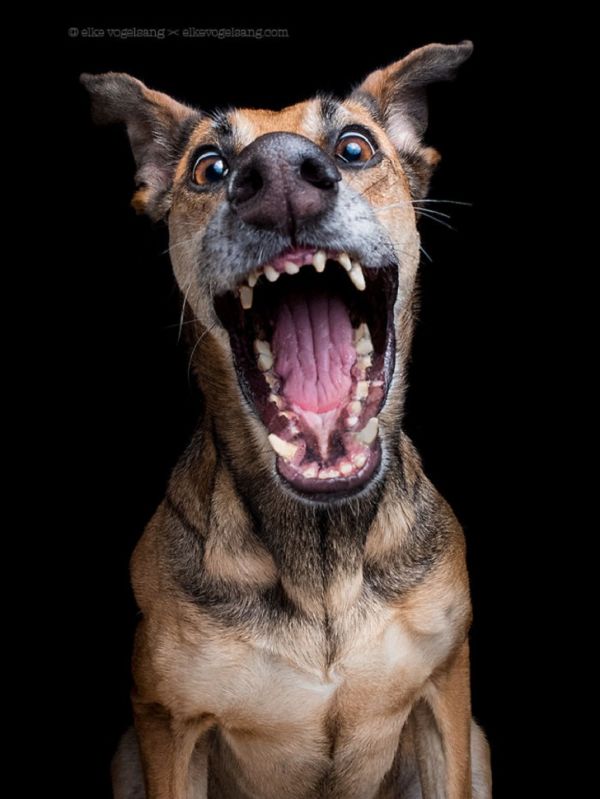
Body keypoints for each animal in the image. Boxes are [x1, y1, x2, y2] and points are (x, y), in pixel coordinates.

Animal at [81, 40, 492, 796]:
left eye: (356, 146)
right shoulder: (165, 725)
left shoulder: (447, 695)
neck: (321, 552)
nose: (276, 174)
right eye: (208, 167)